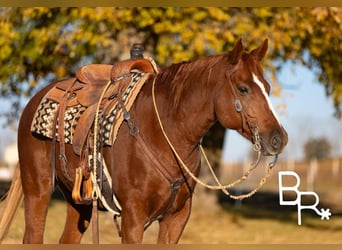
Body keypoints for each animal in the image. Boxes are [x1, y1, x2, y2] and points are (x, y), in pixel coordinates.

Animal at [1, 38, 288, 243]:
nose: (278, 138)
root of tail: (36, 99)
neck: (165, 134)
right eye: (243, 88)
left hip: (78, 202)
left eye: (267, 87)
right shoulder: (133, 217)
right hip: (37, 190)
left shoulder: (176, 218)